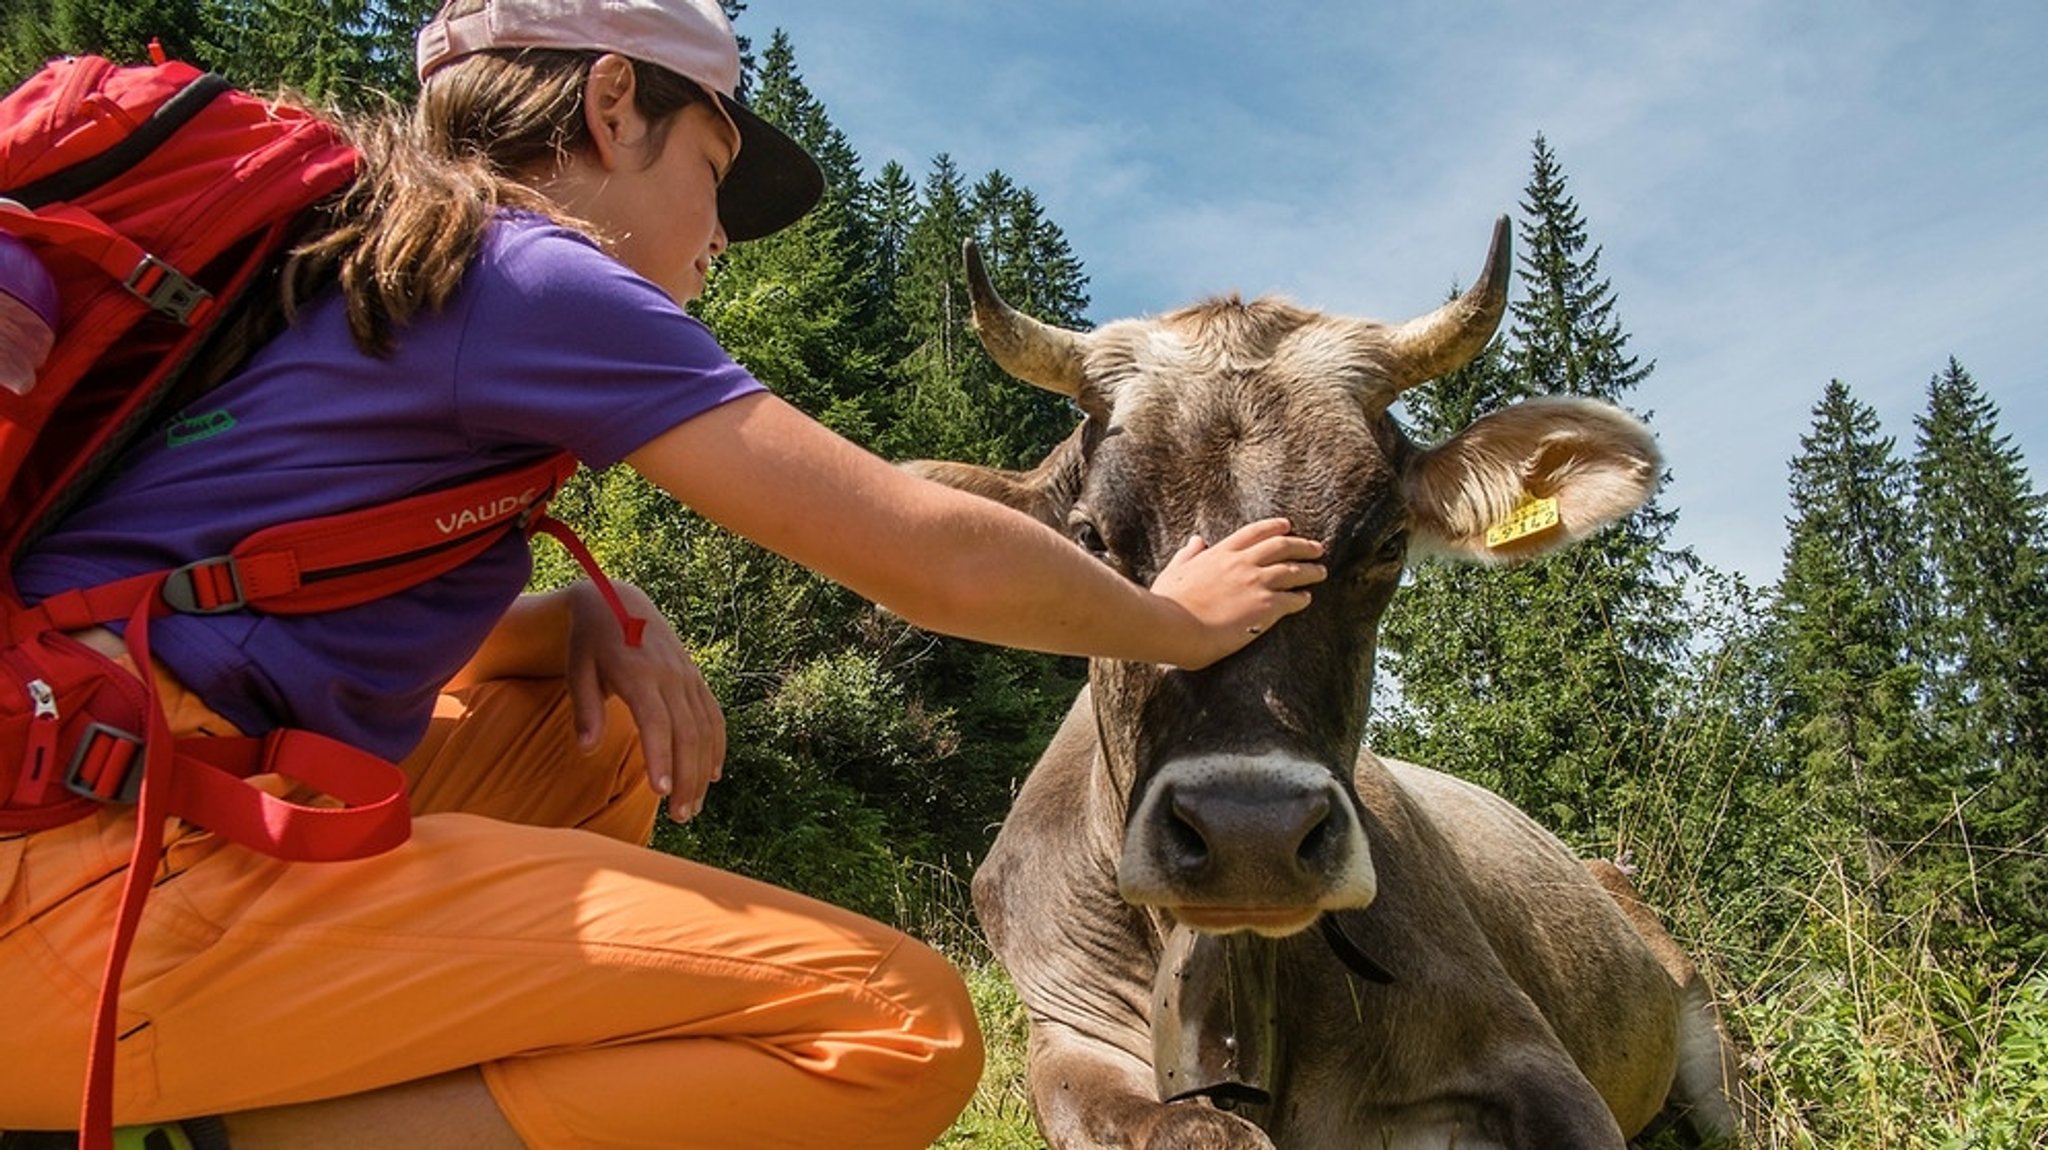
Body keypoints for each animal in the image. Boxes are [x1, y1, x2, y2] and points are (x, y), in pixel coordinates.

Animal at [913, 218, 1761, 1137]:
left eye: (1387, 541)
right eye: (1093, 537)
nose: (1250, 832)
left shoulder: (1525, 1046)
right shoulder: (1070, 1035)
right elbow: (1192, 1126)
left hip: (1711, 1039)